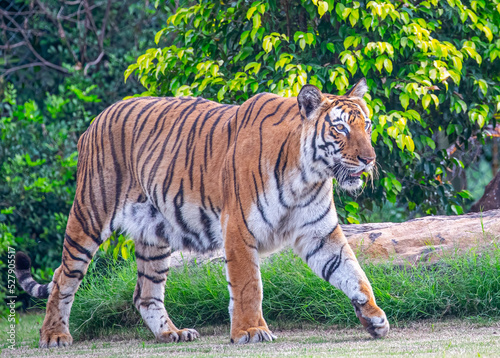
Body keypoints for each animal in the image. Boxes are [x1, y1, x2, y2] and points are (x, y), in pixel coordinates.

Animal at [15, 77, 388, 346]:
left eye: (367, 125)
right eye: (340, 128)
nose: (369, 159)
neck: (308, 176)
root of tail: (95, 121)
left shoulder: (319, 233)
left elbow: (352, 271)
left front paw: (374, 317)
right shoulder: (239, 228)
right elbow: (248, 284)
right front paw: (251, 331)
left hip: (155, 234)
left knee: (145, 294)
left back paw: (172, 334)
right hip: (90, 215)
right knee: (63, 277)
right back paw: (54, 336)